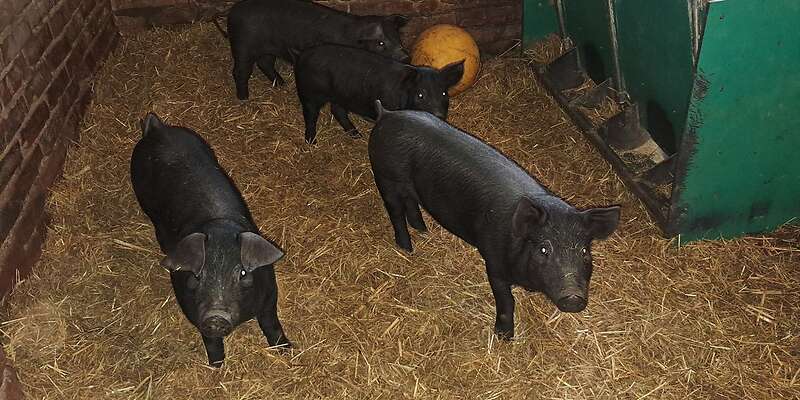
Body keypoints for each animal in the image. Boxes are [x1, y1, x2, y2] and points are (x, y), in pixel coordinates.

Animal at [130, 112, 291, 366]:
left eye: (242, 273)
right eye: (198, 275)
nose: (216, 315)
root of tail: (157, 129)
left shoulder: (270, 294)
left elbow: (271, 323)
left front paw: (287, 349)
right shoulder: (194, 311)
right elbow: (211, 341)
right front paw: (218, 366)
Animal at [226, 0, 409, 100]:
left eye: (397, 38)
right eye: (380, 43)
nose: (405, 57)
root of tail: (232, 11)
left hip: (269, 48)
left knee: (265, 62)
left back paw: (281, 84)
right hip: (242, 45)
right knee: (240, 71)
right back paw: (244, 98)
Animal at [294, 44, 464, 144]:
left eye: (444, 93)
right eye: (420, 95)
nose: (438, 115)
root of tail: (303, 54)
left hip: (341, 95)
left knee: (337, 110)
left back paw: (357, 135)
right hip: (308, 93)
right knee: (310, 115)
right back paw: (311, 142)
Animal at [368, 102, 621, 339]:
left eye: (585, 252)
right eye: (543, 249)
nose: (573, 297)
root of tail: (386, 114)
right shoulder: (493, 262)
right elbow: (506, 300)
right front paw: (503, 337)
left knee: (411, 203)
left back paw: (423, 231)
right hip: (384, 177)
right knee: (395, 211)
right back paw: (407, 248)